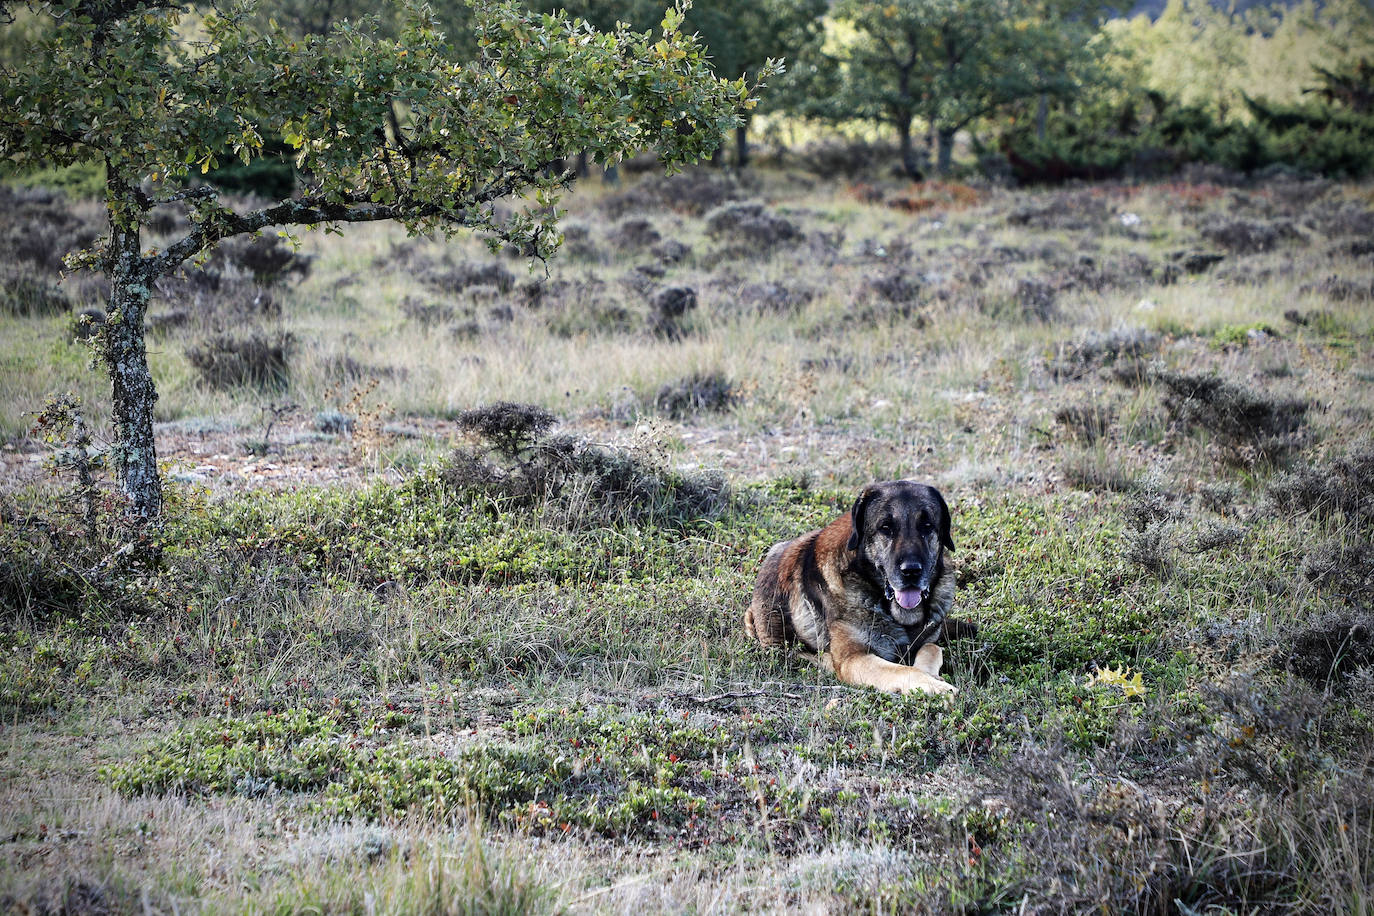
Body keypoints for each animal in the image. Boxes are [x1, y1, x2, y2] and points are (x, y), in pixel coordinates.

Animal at [747, 480, 972, 694]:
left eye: (927, 525)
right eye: (885, 527)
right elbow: (904, 669)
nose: (911, 571)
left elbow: (932, 648)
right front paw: (936, 687)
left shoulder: (927, 640)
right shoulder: (853, 658)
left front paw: (932, 676)